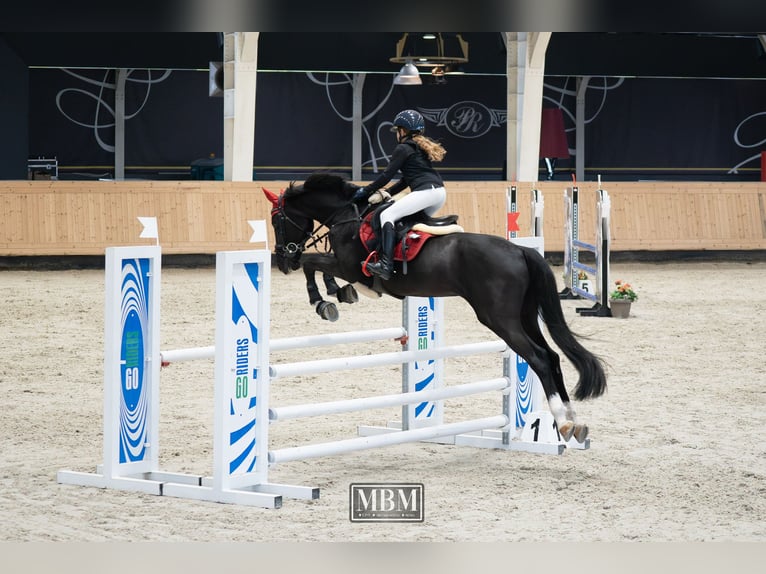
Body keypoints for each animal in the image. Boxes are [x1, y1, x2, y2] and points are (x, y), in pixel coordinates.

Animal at [262, 172, 607, 442]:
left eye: (277, 220)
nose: (284, 260)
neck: (348, 217)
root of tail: (521, 250)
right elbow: (319, 267)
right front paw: (338, 293)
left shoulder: (348, 266)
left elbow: (312, 264)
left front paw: (323, 300)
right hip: (524, 316)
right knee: (552, 356)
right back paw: (573, 421)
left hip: (499, 319)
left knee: (539, 358)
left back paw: (563, 422)